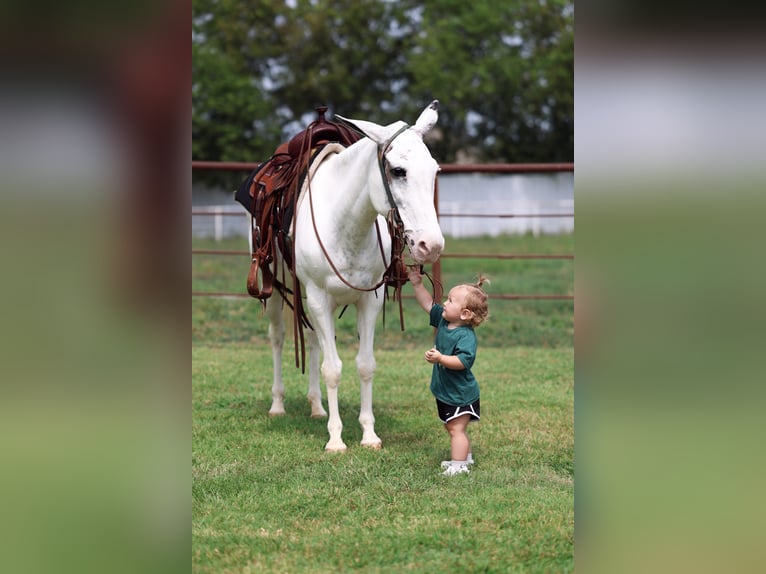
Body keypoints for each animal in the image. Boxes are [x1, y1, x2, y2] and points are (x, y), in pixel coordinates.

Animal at [263, 100, 444, 451]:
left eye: (434, 170)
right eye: (398, 171)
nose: (431, 245)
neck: (345, 224)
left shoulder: (369, 300)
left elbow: (365, 365)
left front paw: (369, 434)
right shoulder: (319, 298)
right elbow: (333, 369)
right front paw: (336, 439)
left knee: (313, 339)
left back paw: (317, 406)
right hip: (279, 289)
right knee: (278, 337)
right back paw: (278, 404)